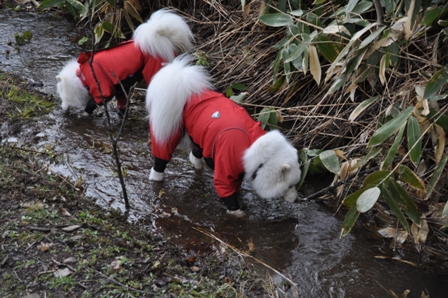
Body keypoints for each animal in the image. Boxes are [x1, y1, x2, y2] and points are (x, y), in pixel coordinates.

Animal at [55, 8, 193, 114]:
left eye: (63, 97)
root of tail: (165, 40)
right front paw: (122, 113)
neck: (81, 76)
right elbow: (122, 100)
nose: (63, 109)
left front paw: (85, 113)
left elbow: (92, 103)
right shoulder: (121, 86)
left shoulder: (103, 89)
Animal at [147, 54, 300, 215]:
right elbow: (226, 191)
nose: (296, 199)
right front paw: (237, 212)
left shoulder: (238, 170)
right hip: (170, 132)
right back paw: (156, 177)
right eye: (290, 186)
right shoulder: (226, 165)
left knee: (196, 153)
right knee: (161, 158)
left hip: (199, 134)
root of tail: (184, 84)